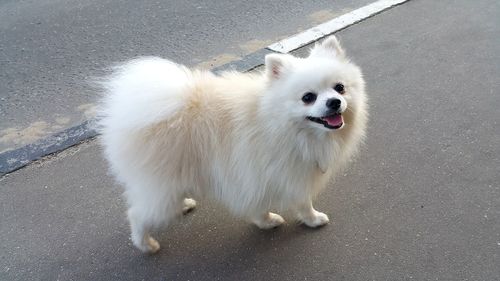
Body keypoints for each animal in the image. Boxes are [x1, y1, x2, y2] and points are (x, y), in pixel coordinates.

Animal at [100, 35, 368, 252]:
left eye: (340, 88)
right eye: (308, 97)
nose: (334, 102)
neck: (277, 120)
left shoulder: (254, 173)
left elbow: (257, 202)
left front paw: (265, 220)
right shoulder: (282, 170)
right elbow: (302, 201)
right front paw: (312, 219)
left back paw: (183, 204)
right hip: (159, 184)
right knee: (137, 214)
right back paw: (145, 244)